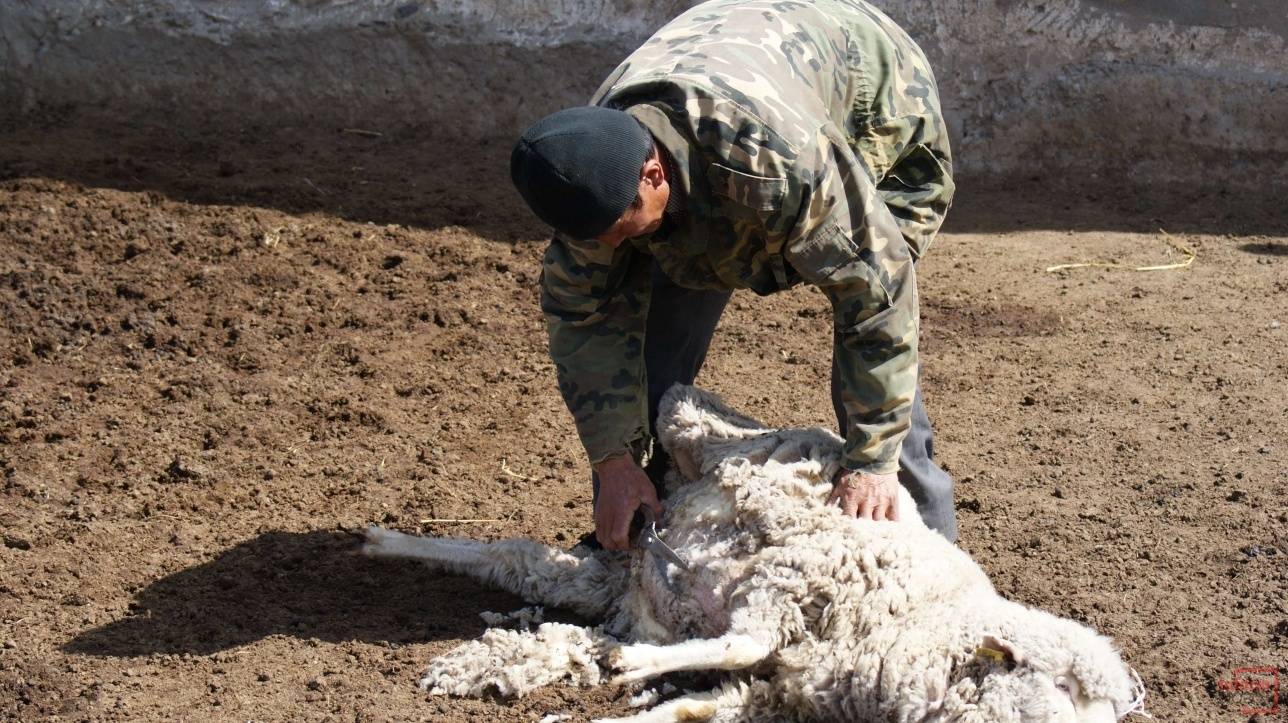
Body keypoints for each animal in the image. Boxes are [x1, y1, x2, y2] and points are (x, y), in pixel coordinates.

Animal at [365, 386, 1148, 716]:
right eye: (1066, 693)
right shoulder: (797, 597)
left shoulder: (768, 692)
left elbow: (690, 706)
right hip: (760, 519)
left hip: (698, 577)